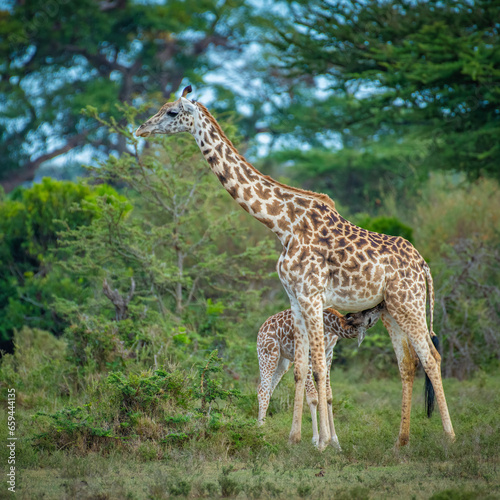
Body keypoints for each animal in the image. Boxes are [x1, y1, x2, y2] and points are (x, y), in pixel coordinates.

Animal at [256, 300, 384, 450]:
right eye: (366, 313)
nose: (381, 305)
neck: (328, 325)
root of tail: (262, 328)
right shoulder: (309, 353)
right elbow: (313, 397)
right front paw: (316, 441)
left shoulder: (329, 353)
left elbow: (328, 395)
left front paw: (336, 443)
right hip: (268, 353)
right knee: (263, 391)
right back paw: (261, 435)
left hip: (283, 362)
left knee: (266, 389)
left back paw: (260, 429)